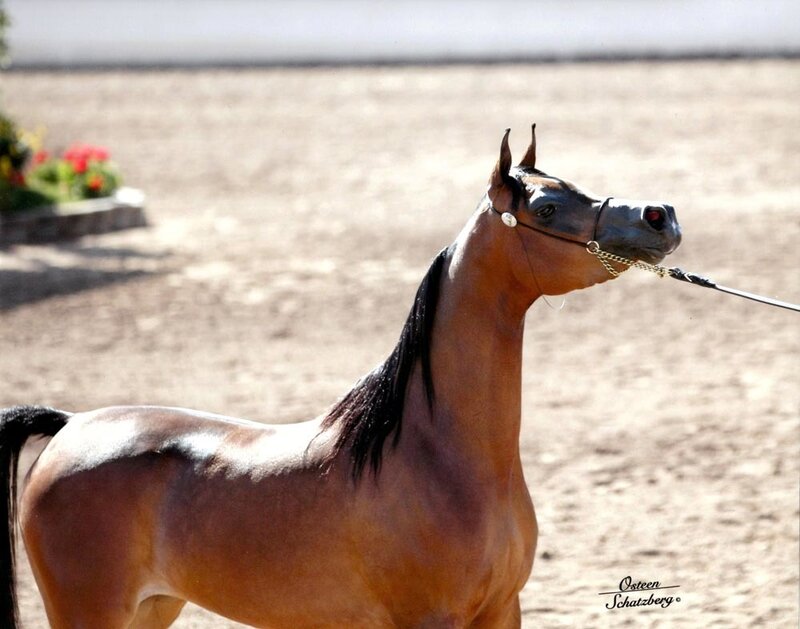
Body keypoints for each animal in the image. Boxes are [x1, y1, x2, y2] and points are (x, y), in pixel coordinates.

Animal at [1, 125, 681, 629]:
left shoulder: (500, 611)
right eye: (546, 206)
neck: (439, 456)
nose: (660, 215)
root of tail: (69, 427)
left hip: (151, 610)